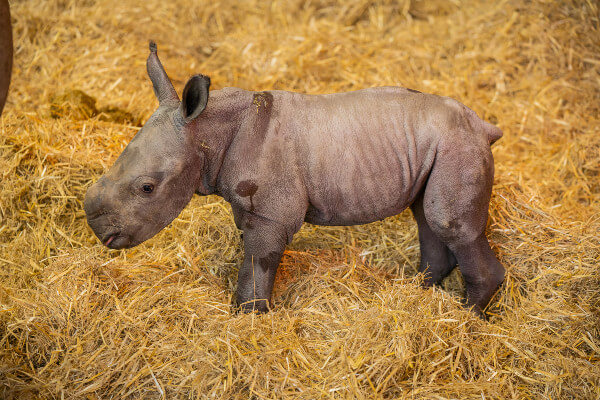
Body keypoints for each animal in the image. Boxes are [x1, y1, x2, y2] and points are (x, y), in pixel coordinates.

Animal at [84, 41, 504, 316]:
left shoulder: (272, 214)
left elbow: (258, 262)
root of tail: (482, 125)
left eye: (147, 188)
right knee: (427, 217)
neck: (206, 130)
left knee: (449, 223)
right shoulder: (249, 206)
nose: (99, 231)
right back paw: (419, 293)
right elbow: (253, 255)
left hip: (457, 146)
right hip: (439, 145)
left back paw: (464, 320)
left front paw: (248, 317)